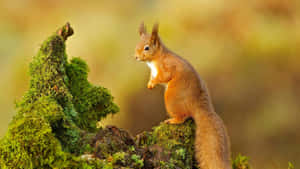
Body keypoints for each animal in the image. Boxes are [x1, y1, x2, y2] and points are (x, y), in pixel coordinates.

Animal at [135, 22, 232, 169]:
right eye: (137, 44)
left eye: (147, 48)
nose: (135, 56)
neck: (155, 60)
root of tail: (198, 106)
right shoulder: (152, 72)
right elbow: (151, 78)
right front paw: (150, 84)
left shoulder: (166, 67)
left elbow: (164, 77)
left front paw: (154, 82)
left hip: (171, 98)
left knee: (183, 116)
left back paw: (172, 120)